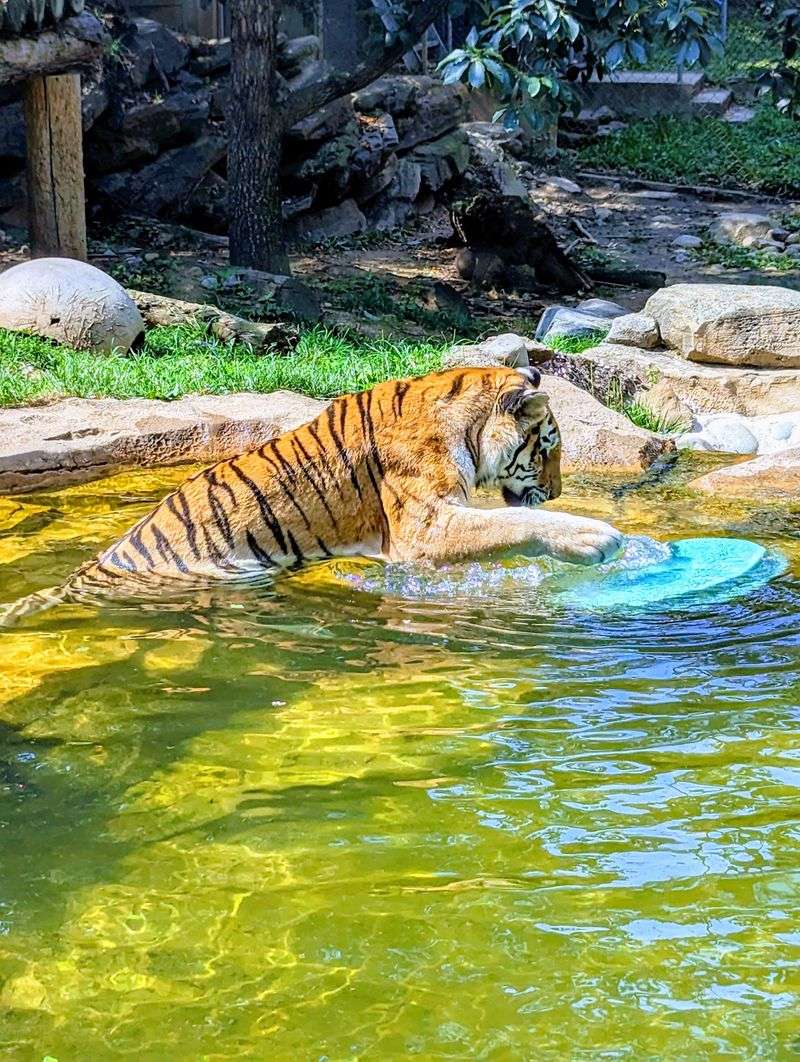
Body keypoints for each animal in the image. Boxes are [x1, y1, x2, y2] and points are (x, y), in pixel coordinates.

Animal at [0, 365, 623, 624]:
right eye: (547, 449)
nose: (556, 489)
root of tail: (88, 573)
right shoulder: (425, 527)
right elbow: (511, 526)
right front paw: (597, 537)